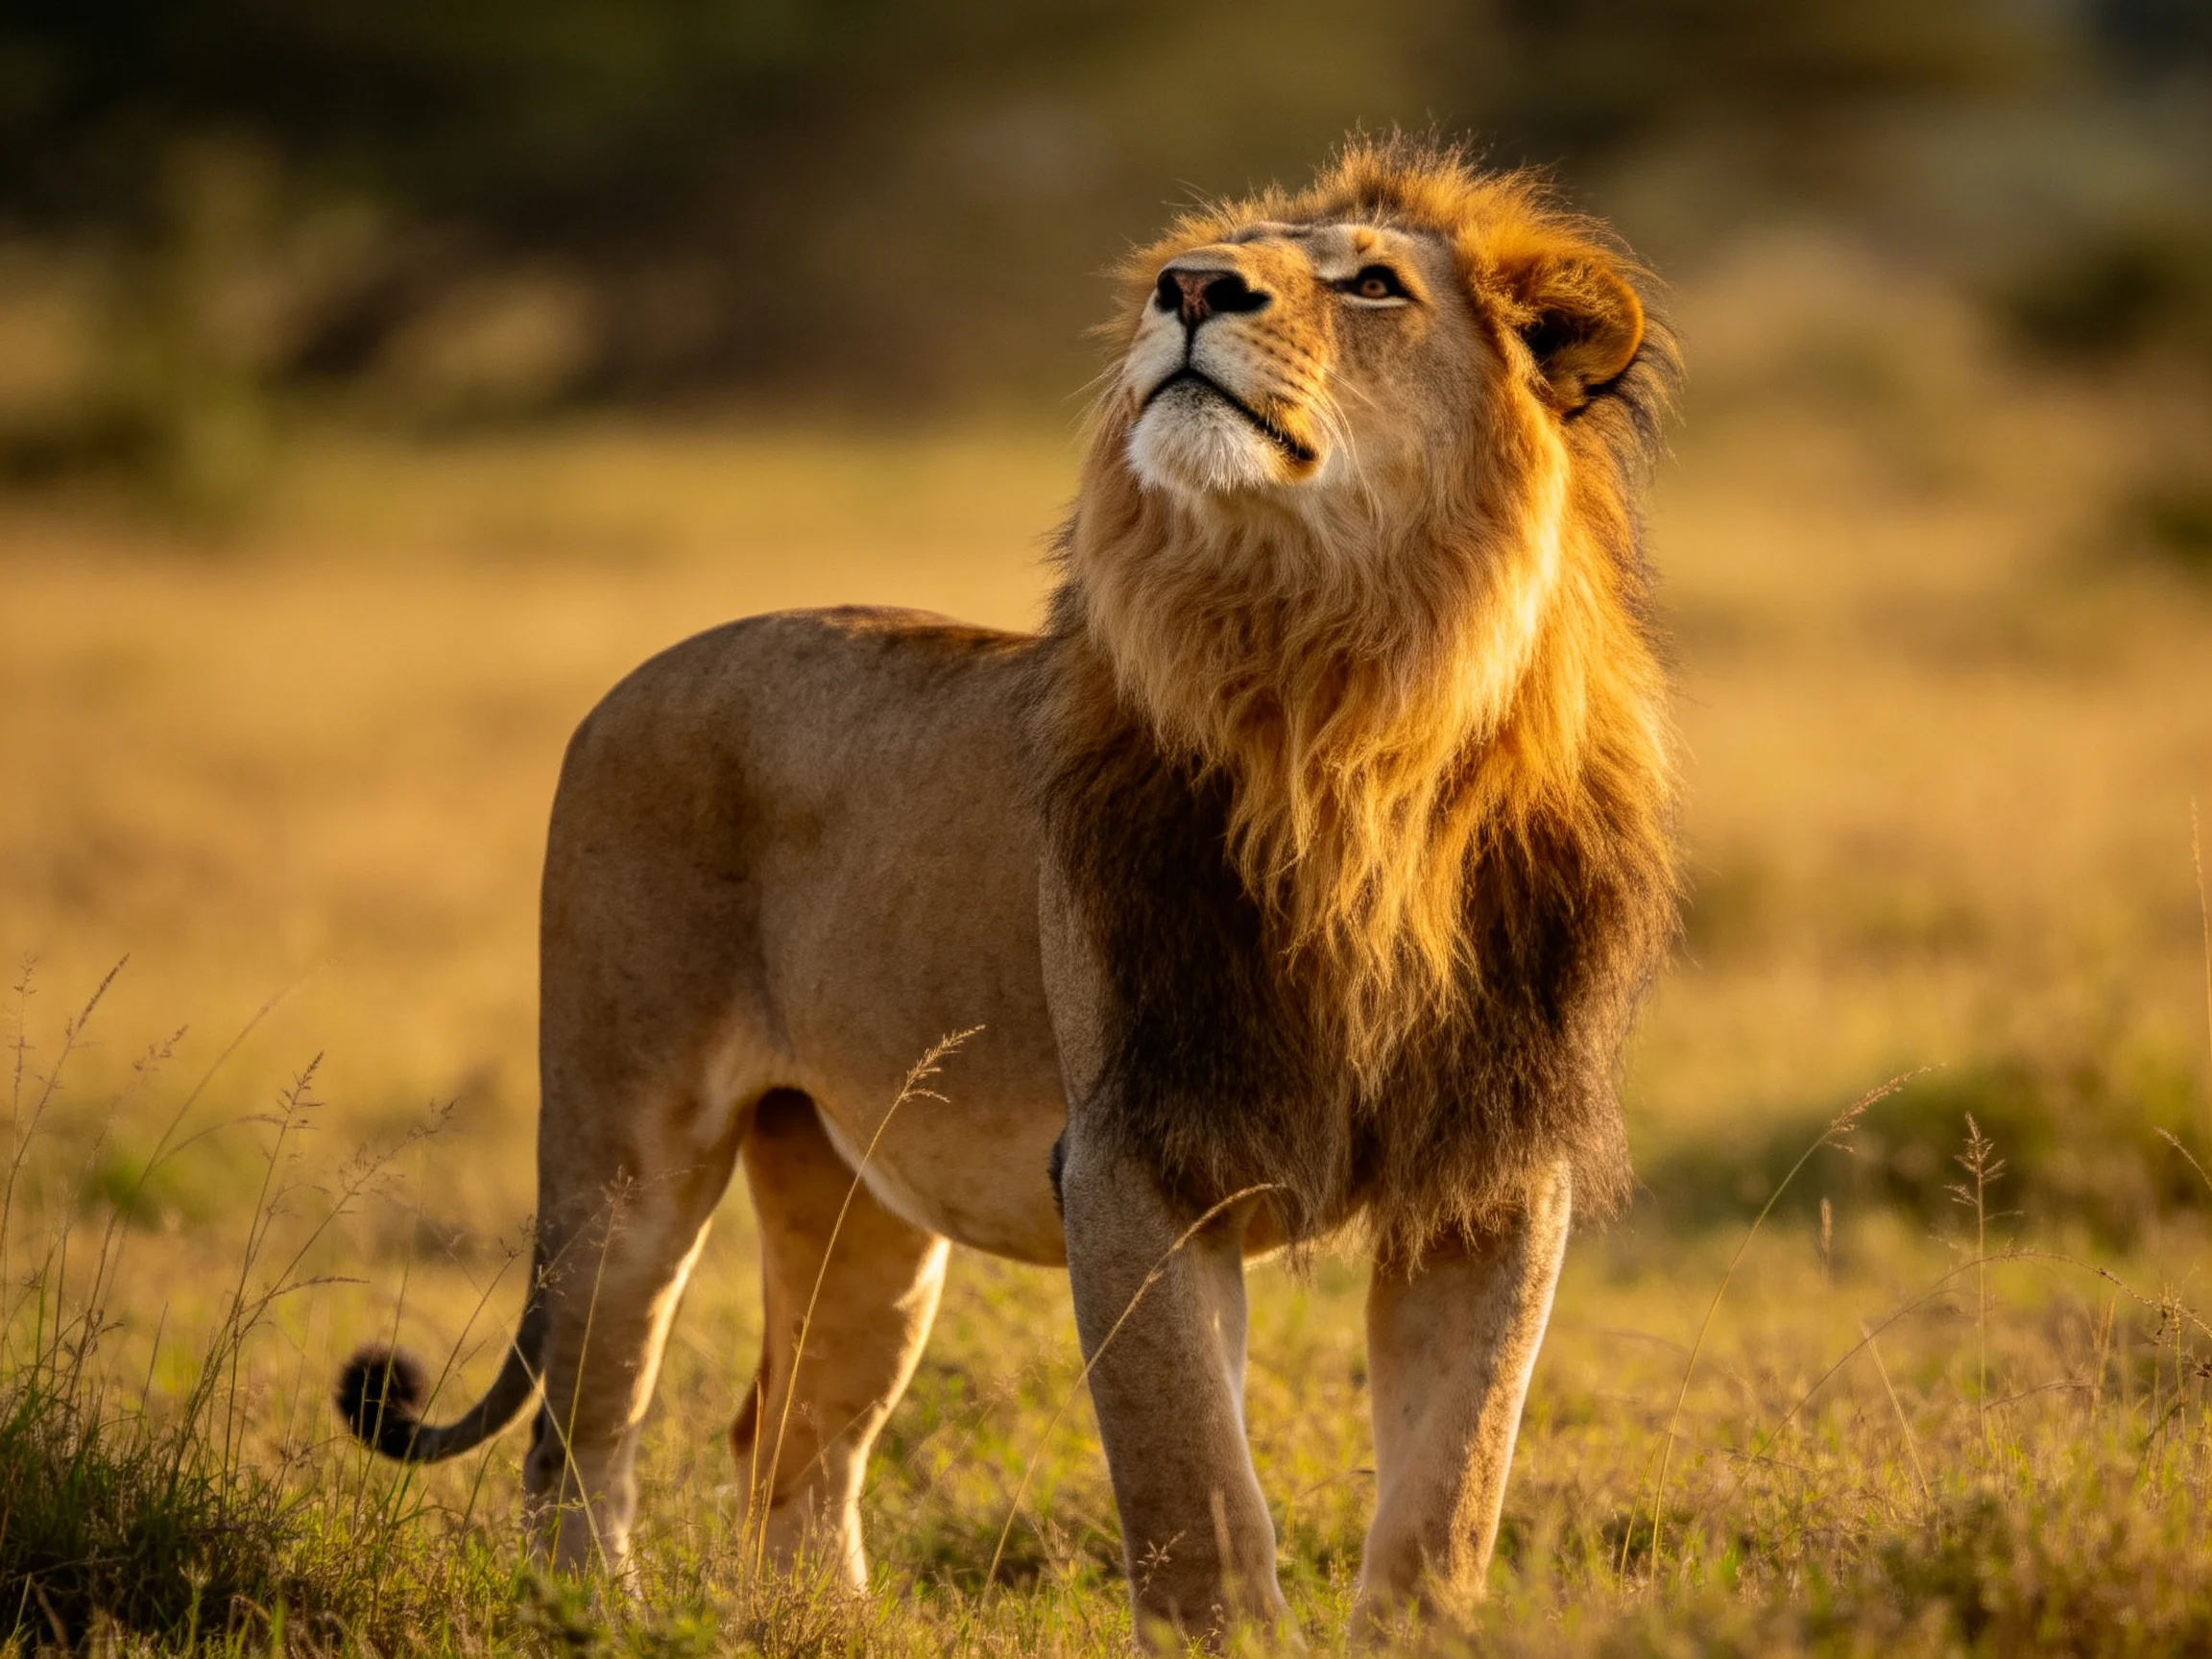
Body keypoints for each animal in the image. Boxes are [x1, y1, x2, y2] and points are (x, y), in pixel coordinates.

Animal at [335, 137, 1680, 1642]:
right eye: (1207, 258)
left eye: (1374, 284)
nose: (1190, 287)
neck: (1347, 706)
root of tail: (637, 678)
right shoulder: (1133, 1158)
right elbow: (1195, 1493)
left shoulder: (1487, 1178)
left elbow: (1449, 1498)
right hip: (626, 1143)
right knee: (583, 1422)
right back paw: (596, 1617)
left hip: (852, 1192)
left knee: (788, 1436)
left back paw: (831, 1632)